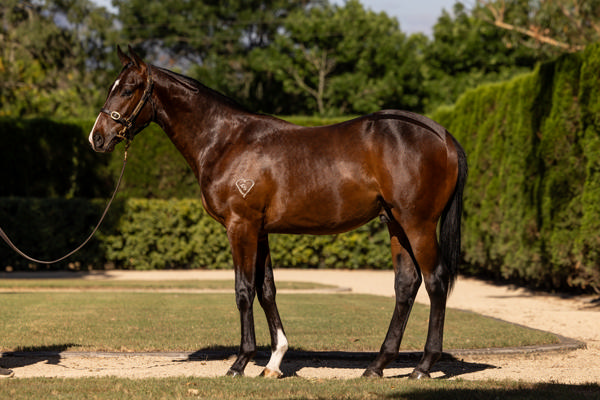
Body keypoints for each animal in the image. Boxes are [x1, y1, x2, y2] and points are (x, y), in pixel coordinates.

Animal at [89, 46, 466, 378]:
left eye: (127, 89)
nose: (97, 137)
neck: (226, 140)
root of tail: (443, 136)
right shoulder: (260, 230)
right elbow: (266, 289)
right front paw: (274, 361)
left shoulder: (240, 226)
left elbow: (243, 290)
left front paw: (240, 362)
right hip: (395, 224)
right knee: (406, 285)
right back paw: (376, 366)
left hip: (417, 224)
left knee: (435, 281)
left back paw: (423, 367)